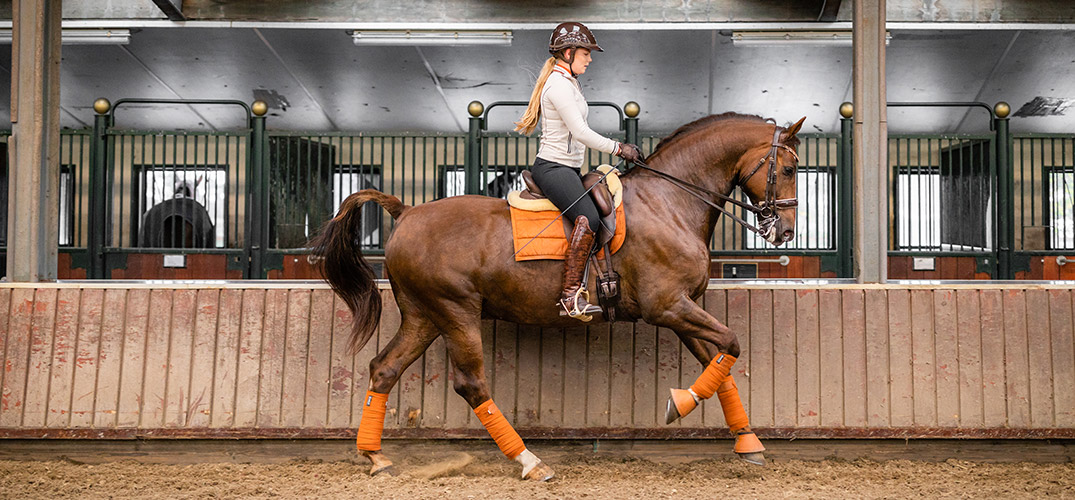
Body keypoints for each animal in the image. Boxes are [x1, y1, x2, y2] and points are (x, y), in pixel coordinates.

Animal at [311, 112, 806, 480]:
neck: (670, 202)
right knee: (471, 384)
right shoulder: (667, 306)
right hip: (456, 313)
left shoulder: (685, 308)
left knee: (384, 369)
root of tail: (407, 211)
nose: (784, 232)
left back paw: (376, 457)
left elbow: (720, 363)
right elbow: (731, 345)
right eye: (787, 169)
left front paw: (748, 442)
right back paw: (530, 462)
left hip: (424, 315)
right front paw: (677, 406)